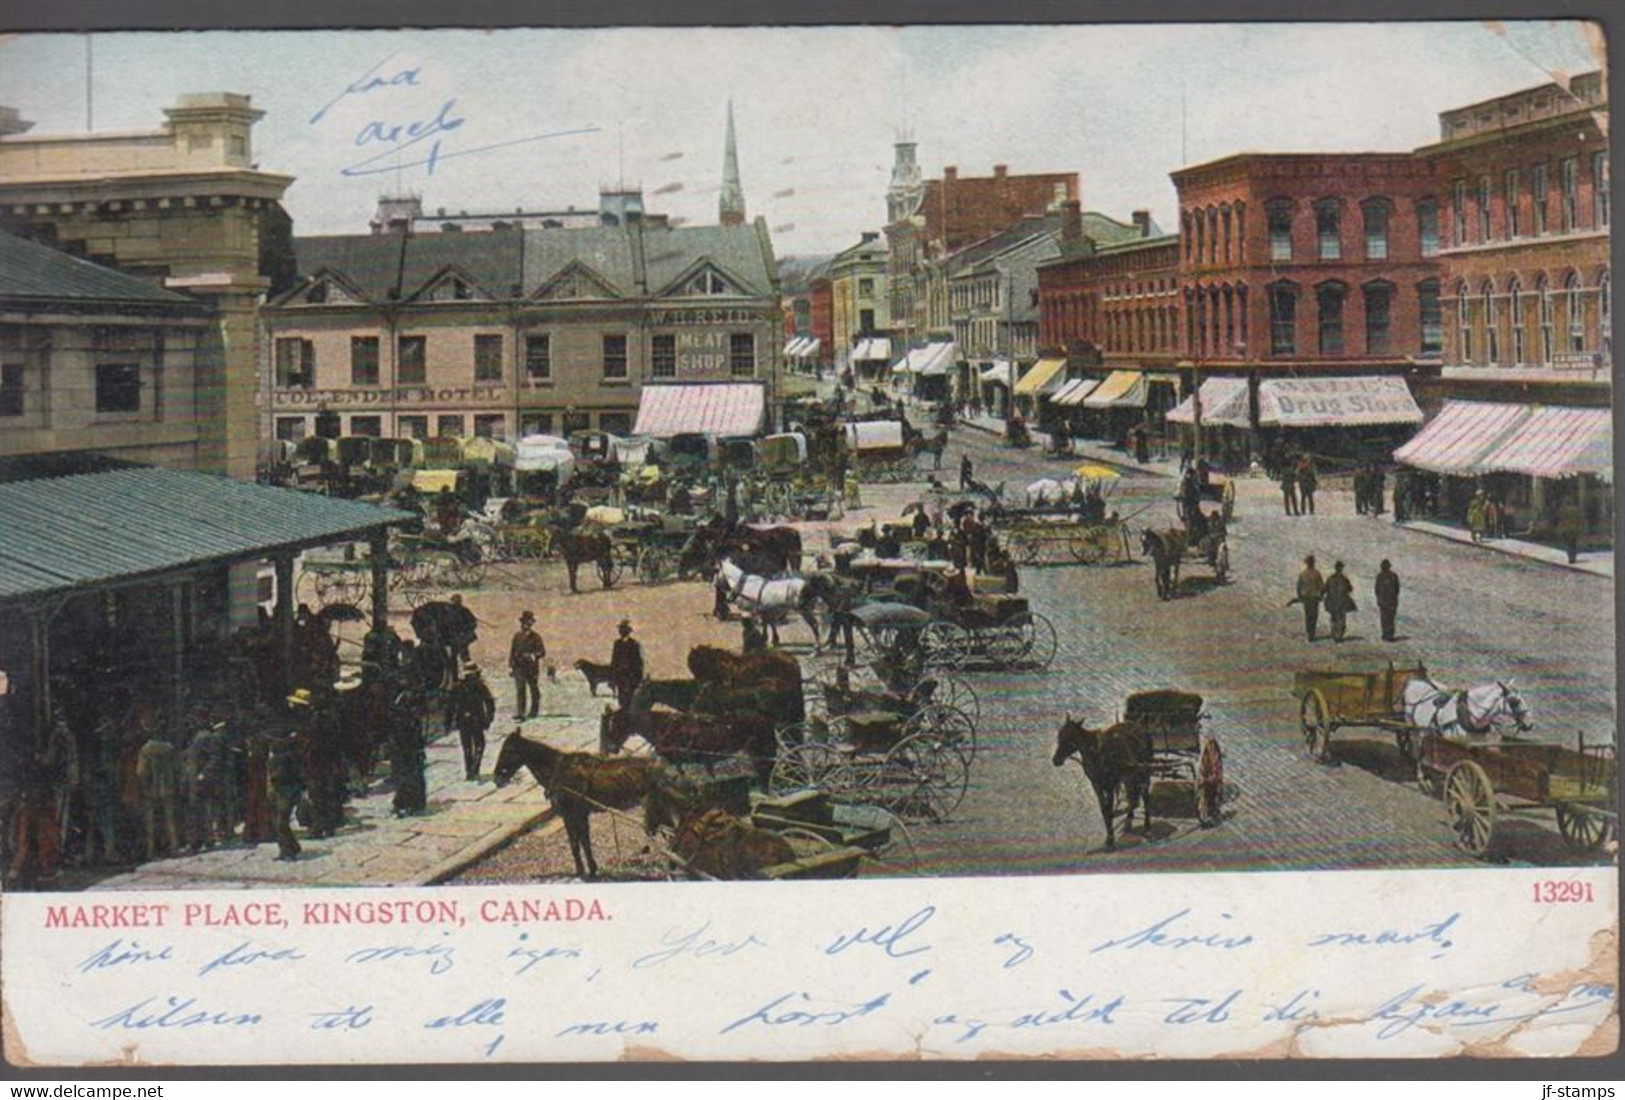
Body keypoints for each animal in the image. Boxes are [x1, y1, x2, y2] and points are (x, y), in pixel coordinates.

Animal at [490, 727, 656, 877]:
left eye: (508, 750)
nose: (496, 776)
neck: (557, 769)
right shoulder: (580, 814)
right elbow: (583, 842)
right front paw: (591, 868)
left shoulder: (570, 814)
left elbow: (576, 843)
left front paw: (582, 870)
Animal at [1053, 711, 1157, 851]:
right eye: (1060, 735)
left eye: (1070, 737)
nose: (1056, 760)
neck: (1096, 752)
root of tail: (1141, 727)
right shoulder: (1097, 785)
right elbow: (1104, 810)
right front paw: (1108, 837)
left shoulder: (1110, 785)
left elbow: (1109, 809)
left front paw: (1111, 838)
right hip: (1128, 775)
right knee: (1132, 796)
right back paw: (1128, 820)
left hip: (1144, 770)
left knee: (1144, 795)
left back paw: (1147, 826)